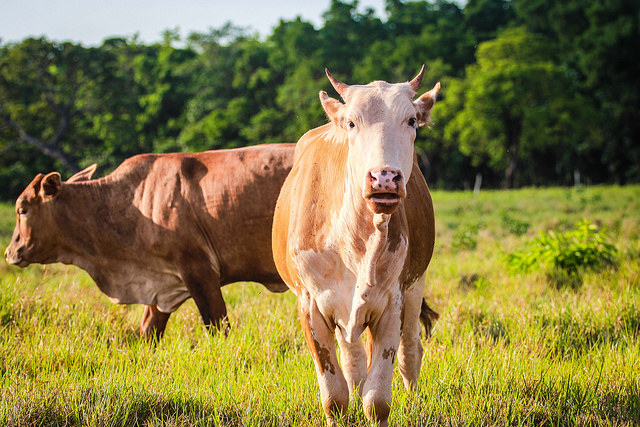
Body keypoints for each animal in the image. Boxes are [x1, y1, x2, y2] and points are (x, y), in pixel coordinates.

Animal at [4, 144, 296, 342]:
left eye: (22, 210)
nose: (9, 252)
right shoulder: (160, 284)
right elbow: (148, 330)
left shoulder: (200, 271)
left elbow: (216, 326)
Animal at [270, 68, 440, 426]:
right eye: (351, 123)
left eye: (411, 121)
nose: (384, 177)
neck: (356, 240)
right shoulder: (311, 305)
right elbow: (335, 396)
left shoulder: (392, 304)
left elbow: (377, 401)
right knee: (353, 358)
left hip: (415, 287)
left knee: (410, 350)